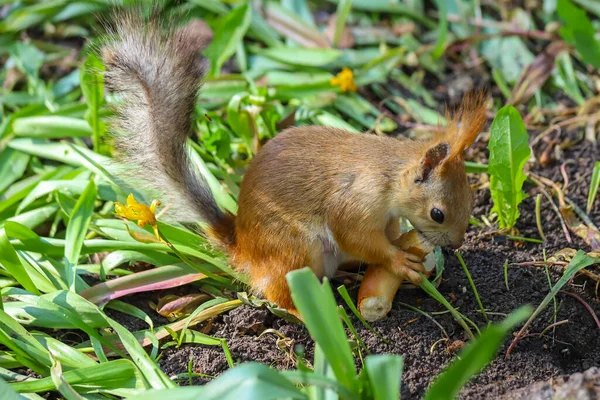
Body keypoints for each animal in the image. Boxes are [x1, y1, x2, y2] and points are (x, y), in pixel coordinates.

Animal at [102, 10, 488, 318]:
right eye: (438, 213)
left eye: (471, 199)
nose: (456, 244)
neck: (388, 176)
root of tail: (245, 251)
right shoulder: (355, 202)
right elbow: (358, 237)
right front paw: (397, 260)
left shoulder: (388, 216)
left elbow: (386, 235)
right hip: (296, 251)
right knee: (280, 293)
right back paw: (308, 314)